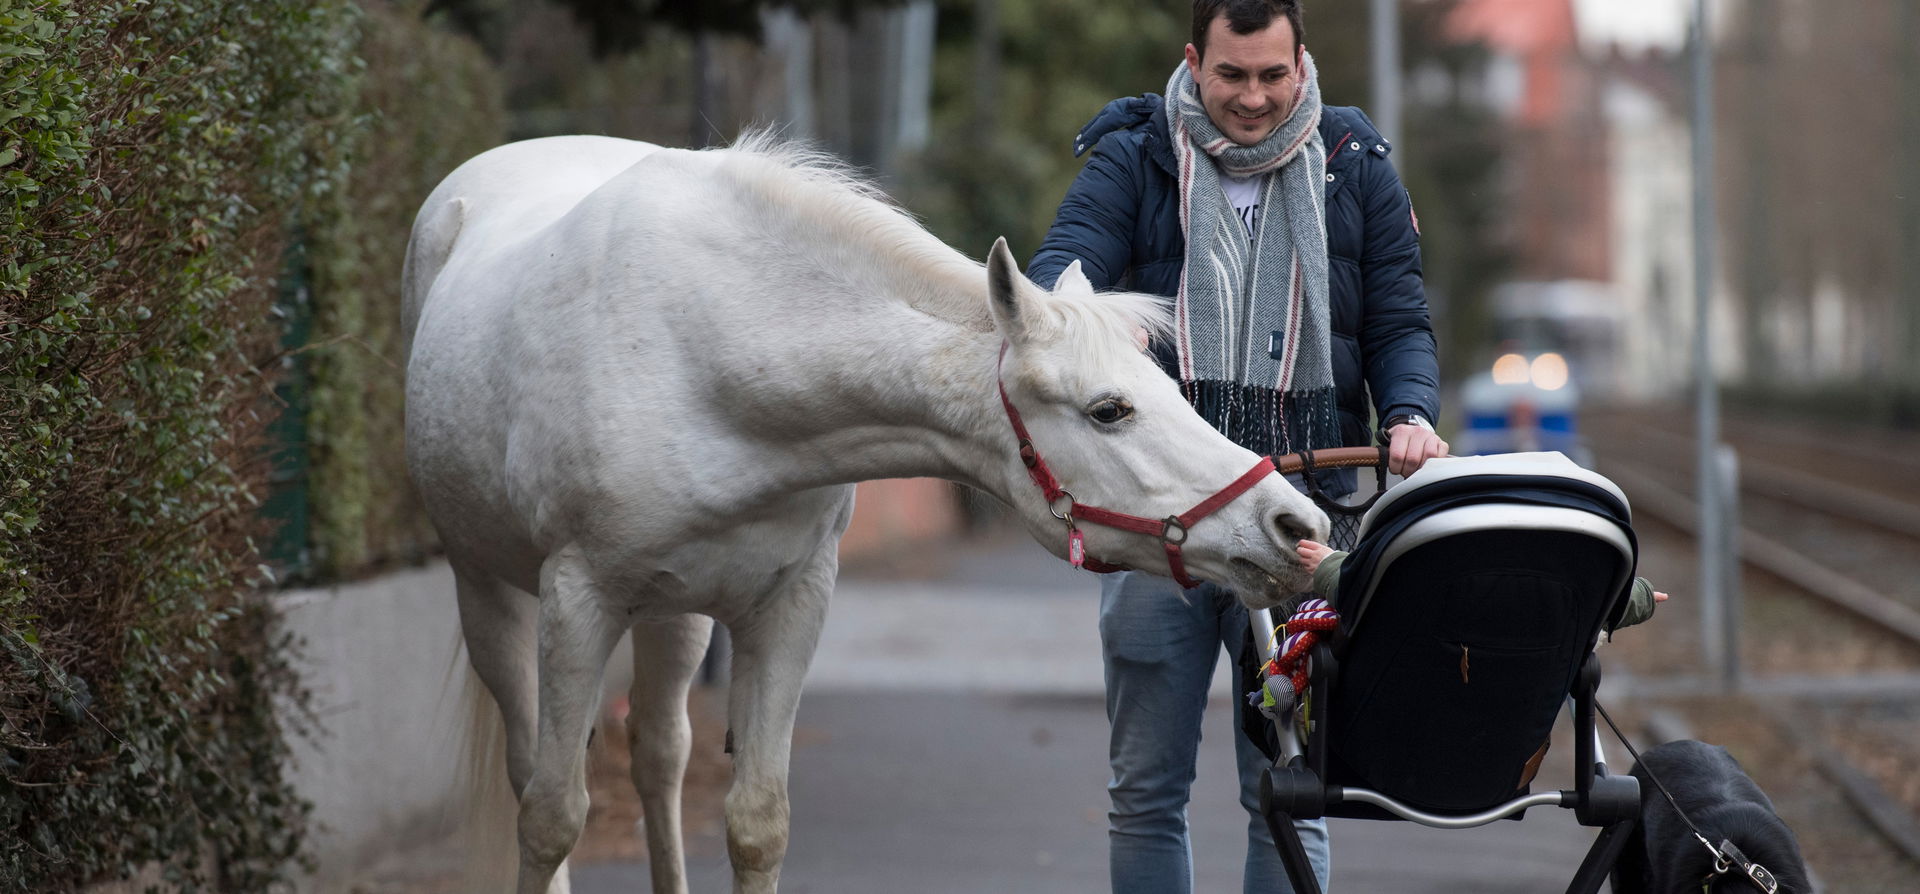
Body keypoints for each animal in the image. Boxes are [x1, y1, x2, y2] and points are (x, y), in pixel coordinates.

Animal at [397, 134, 1328, 894]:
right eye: (1110, 410)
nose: (1296, 526)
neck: (708, 353)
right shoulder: (578, 601)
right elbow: (551, 815)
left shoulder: (790, 606)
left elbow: (757, 824)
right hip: (491, 591)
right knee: (532, 773)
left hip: (673, 614)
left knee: (659, 757)